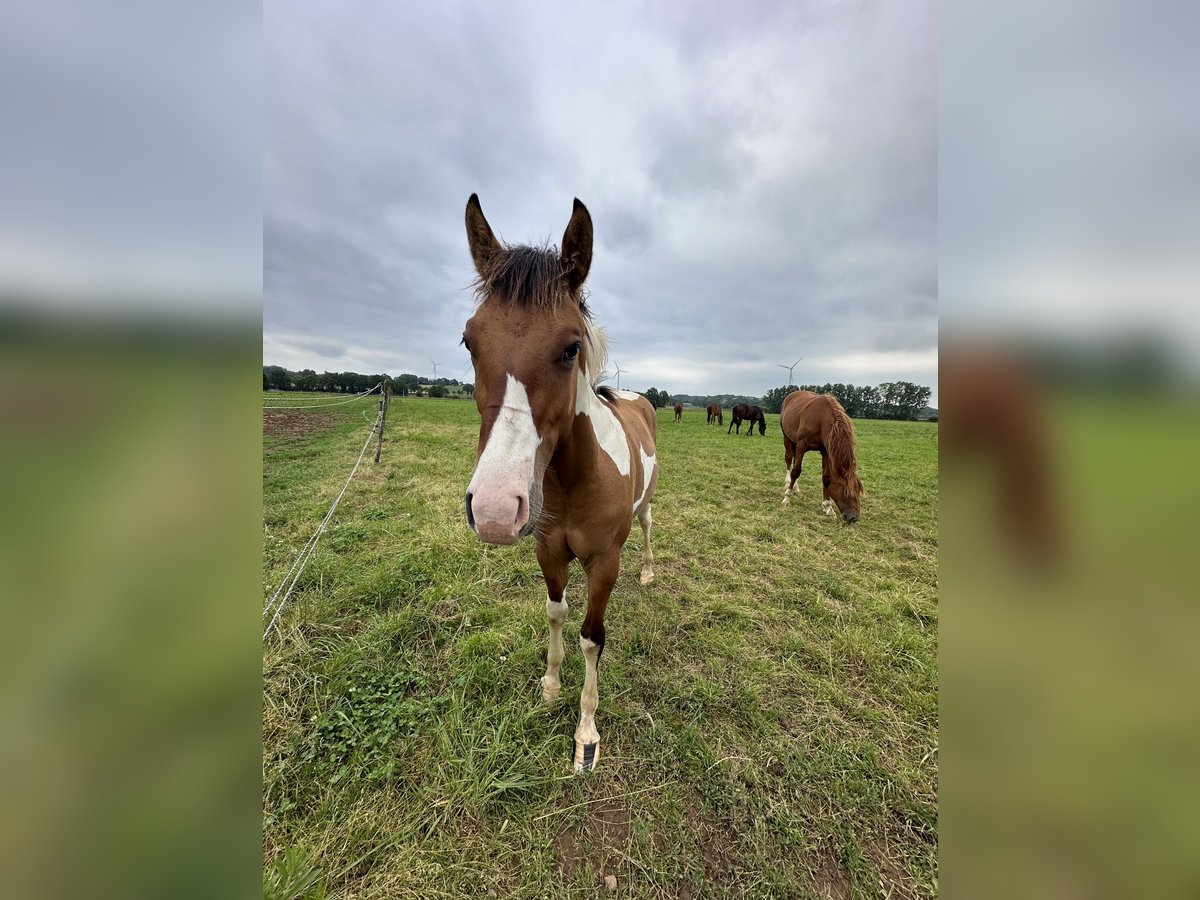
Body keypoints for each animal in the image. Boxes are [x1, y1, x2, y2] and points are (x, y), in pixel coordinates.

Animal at [463, 195, 662, 777]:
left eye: (572, 347)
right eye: (468, 341)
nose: (495, 509)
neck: (577, 481)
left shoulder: (603, 564)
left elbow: (592, 639)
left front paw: (586, 733)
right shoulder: (549, 553)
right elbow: (556, 615)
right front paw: (551, 687)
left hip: (645, 511)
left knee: (647, 529)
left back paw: (649, 571)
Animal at [777, 391, 864, 525]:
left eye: (858, 490)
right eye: (846, 492)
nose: (854, 518)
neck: (821, 421)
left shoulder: (826, 451)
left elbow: (826, 478)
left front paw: (828, 507)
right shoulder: (802, 445)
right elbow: (796, 471)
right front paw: (787, 498)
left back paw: (795, 486)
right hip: (787, 437)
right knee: (789, 459)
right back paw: (788, 483)